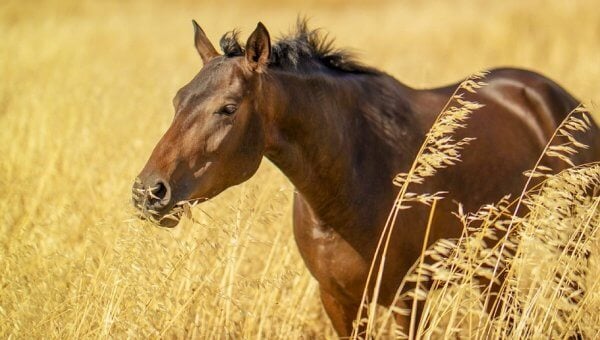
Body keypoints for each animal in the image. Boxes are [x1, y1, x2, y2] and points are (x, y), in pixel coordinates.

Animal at [132, 19, 600, 336]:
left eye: (228, 108)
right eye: (177, 100)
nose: (149, 192)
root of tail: (556, 98)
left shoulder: (408, 298)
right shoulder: (339, 300)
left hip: (568, 250)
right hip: (494, 261)